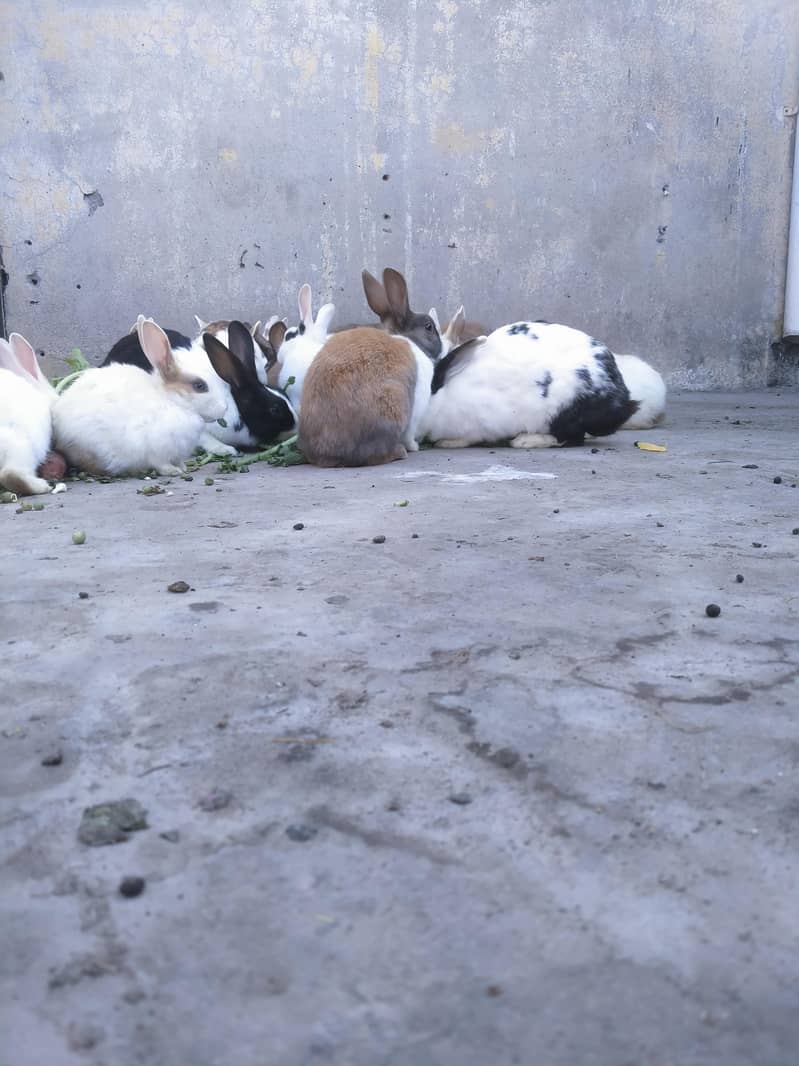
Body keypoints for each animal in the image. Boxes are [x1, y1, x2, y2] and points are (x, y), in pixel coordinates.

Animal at [52, 316, 235, 476]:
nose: (224, 408)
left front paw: (183, 468)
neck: (173, 402)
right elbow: (161, 464)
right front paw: (173, 471)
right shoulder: (155, 450)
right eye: (199, 386)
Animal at [298, 269, 442, 467]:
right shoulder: (416, 408)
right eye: (429, 327)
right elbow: (410, 434)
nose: (442, 348)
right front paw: (415, 446)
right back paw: (400, 452)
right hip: (393, 404)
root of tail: (327, 453)